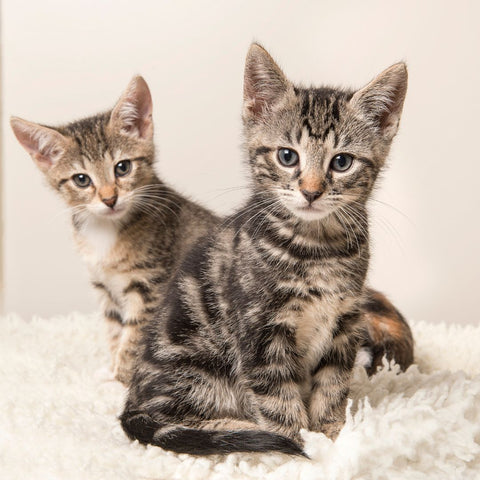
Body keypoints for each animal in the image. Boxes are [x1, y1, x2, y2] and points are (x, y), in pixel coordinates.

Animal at [10, 77, 218, 384]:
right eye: (81, 179)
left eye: (122, 167)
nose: (109, 199)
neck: (105, 231)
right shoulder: (104, 287)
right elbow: (114, 332)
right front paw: (110, 372)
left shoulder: (151, 286)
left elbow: (134, 337)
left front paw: (122, 379)